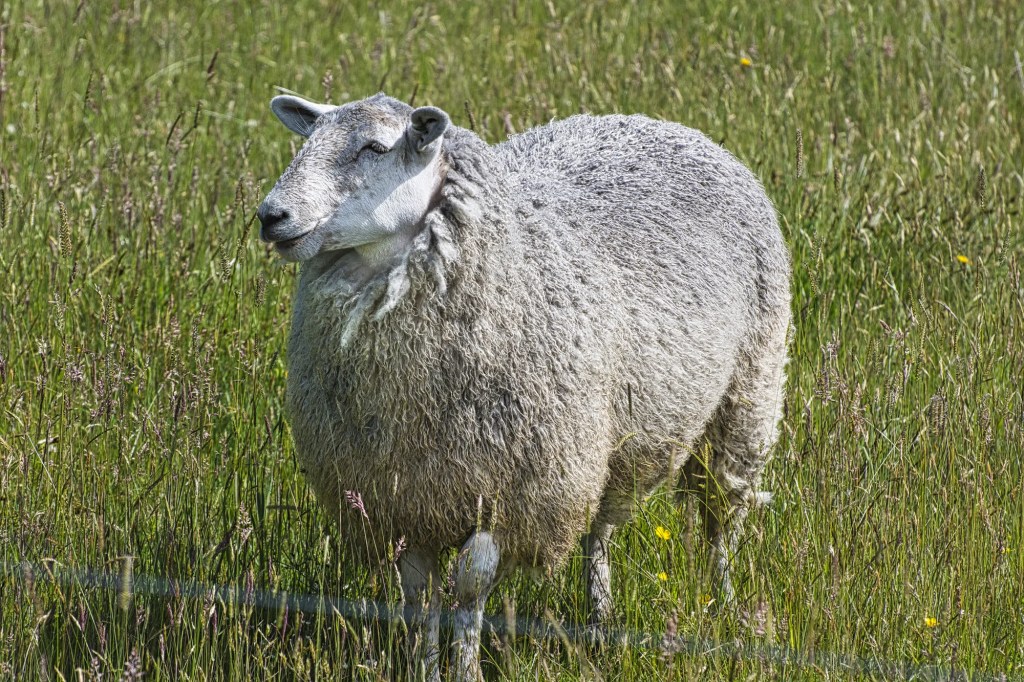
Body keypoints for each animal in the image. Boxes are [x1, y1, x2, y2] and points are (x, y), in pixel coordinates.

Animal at [256, 92, 790, 681]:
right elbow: (419, 594)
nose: (271, 216)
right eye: (307, 142)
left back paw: (724, 607)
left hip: (746, 400)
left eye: (375, 147)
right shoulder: (404, 495)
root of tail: (663, 124)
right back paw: (600, 621)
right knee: (599, 532)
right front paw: (426, 667)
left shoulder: (507, 495)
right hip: (607, 446)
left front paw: (466, 670)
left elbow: (469, 591)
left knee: (722, 519)